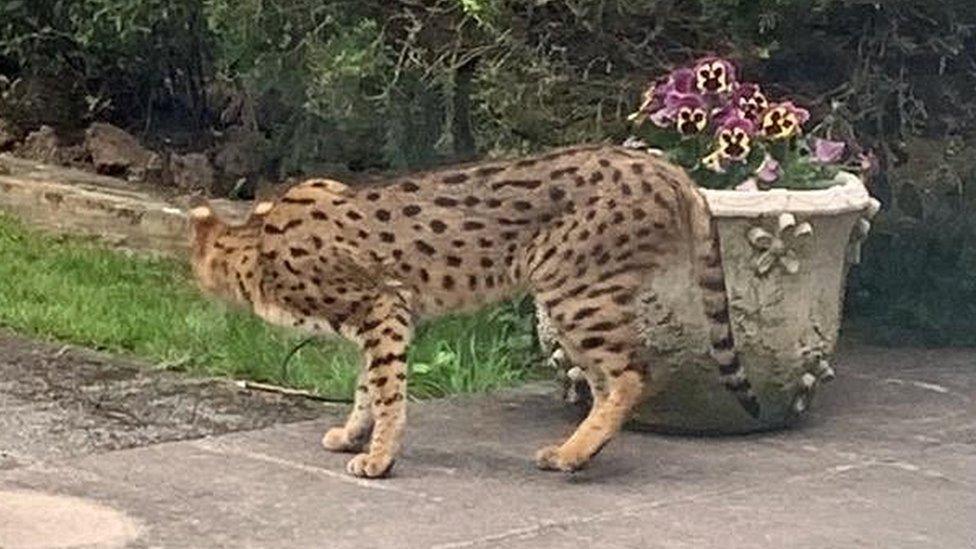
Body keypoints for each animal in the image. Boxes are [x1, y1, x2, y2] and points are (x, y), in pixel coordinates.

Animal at [187, 143, 760, 478]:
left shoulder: (383, 308)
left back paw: (573, 453)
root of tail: (665, 166)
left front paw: (378, 457)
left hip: (572, 293)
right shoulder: (384, 317)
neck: (255, 244)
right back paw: (579, 451)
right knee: (608, 380)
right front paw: (353, 434)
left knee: (632, 375)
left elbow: (387, 392)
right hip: (578, 299)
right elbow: (366, 387)